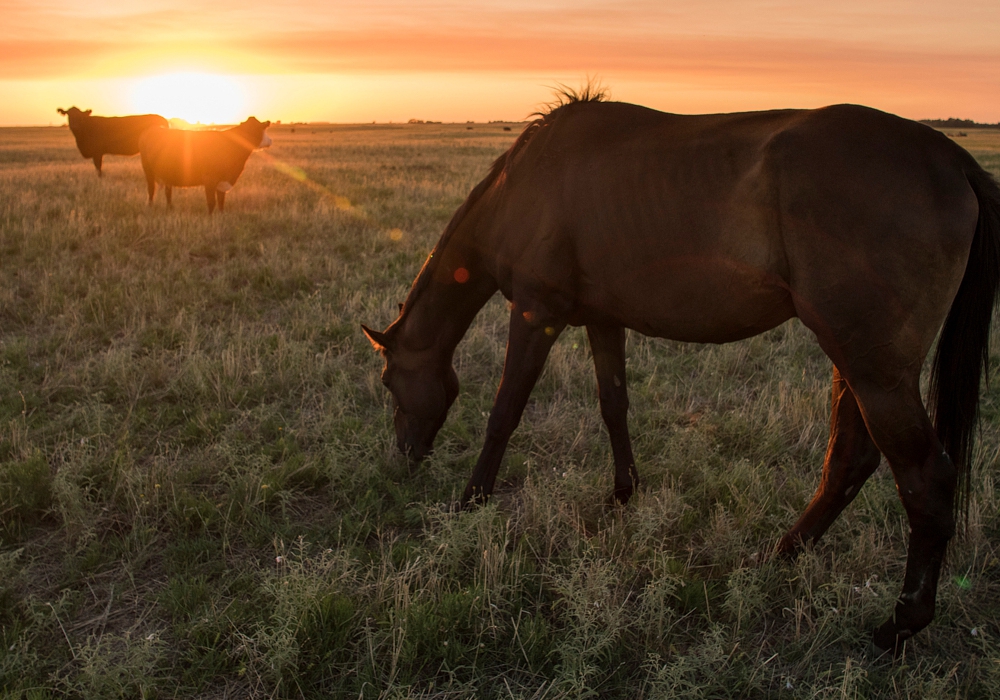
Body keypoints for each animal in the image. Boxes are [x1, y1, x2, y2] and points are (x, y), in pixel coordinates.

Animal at [366, 95, 1000, 652]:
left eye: (389, 382)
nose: (405, 456)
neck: (522, 189)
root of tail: (950, 158)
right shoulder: (603, 320)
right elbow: (613, 406)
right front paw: (624, 492)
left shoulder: (535, 314)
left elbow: (504, 412)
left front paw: (471, 499)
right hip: (855, 364)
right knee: (849, 460)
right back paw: (780, 555)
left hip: (875, 371)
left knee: (924, 478)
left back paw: (898, 627)